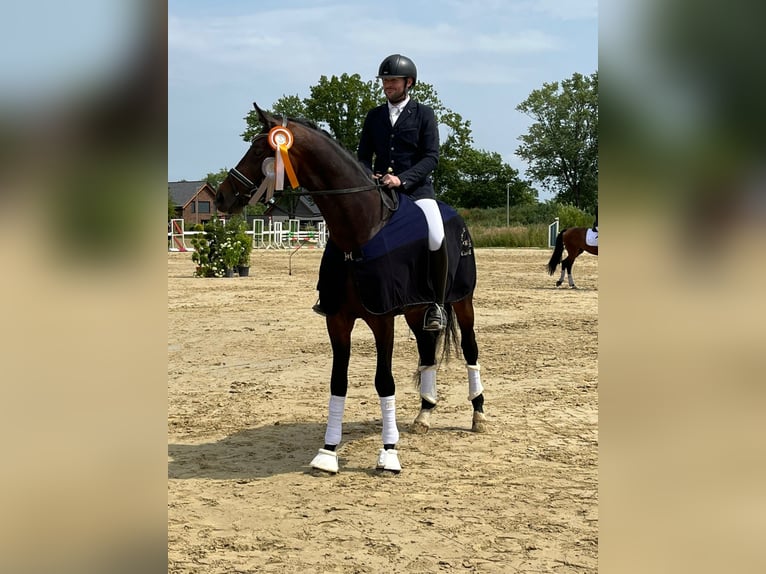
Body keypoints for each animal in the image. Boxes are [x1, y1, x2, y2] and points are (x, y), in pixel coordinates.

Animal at [214, 103, 486, 476]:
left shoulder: (382, 319)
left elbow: (384, 381)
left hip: (462, 301)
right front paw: (328, 452)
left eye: (259, 150)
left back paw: (478, 414)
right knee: (427, 350)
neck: (359, 231)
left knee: (471, 349)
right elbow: (337, 382)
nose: (221, 196)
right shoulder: (338, 320)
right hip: (417, 309)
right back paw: (424, 414)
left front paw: (389, 453)